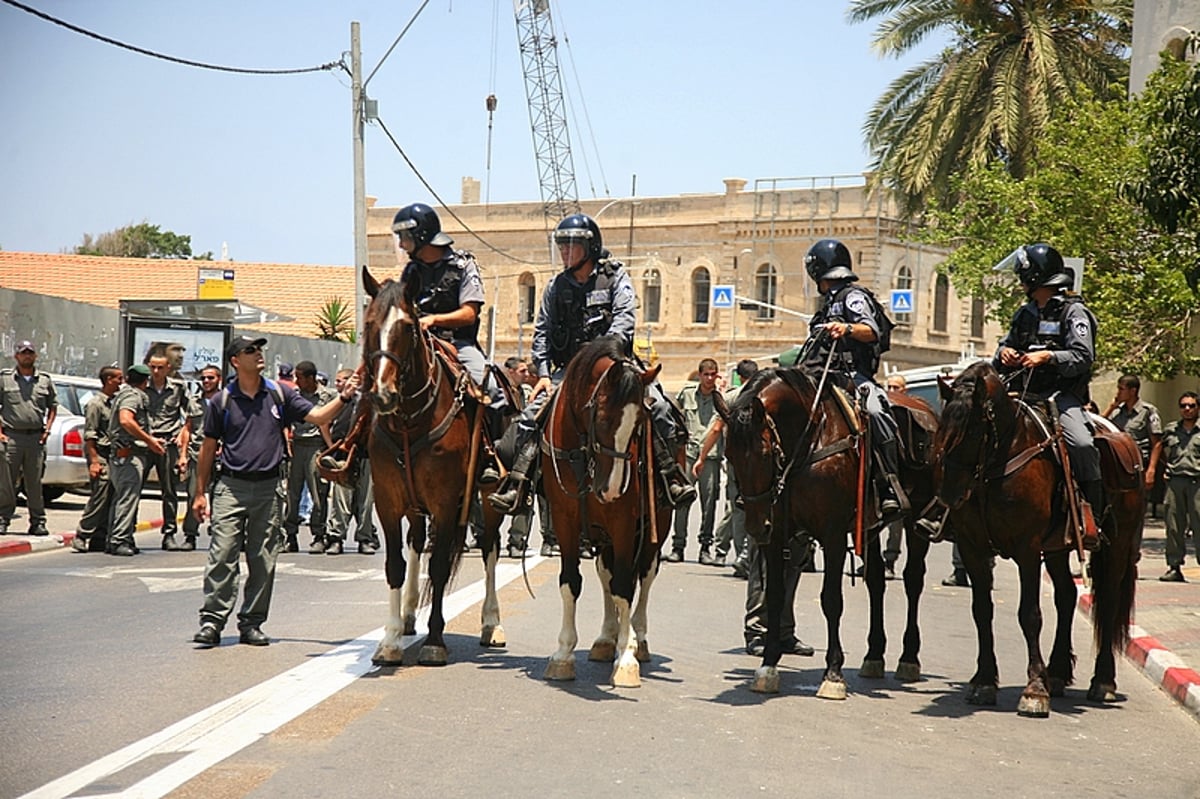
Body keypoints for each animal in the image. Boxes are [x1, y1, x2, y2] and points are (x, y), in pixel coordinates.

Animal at [357, 267, 504, 667]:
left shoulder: (445, 501)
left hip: (487, 497)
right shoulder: (389, 501)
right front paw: (390, 640)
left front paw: (435, 640)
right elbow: (396, 565)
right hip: (415, 504)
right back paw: (409, 615)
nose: (383, 394)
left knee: (490, 548)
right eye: (369, 324)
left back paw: (491, 623)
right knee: (417, 543)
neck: (409, 421)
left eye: (408, 326)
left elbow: (438, 568)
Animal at [537, 335, 672, 686]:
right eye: (600, 418)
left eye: (639, 424)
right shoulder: (564, 519)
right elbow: (571, 582)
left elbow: (625, 588)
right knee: (606, 573)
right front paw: (563, 655)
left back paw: (637, 639)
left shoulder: (623, 521)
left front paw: (625, 659)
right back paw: (606, 638)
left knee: (644, 576)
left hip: (654, 529)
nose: (610, 490)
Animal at [715, 367, 940, 695]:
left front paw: (833, 673)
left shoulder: (832, 535)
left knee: (913, 581)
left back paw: (908, 658)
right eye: (729, 454)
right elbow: (775, 596)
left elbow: (831, 600)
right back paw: (874, 656)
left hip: (917, 521)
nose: (756, 525)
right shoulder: (777, 536)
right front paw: (768, 665)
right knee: (876, 582)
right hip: (869, 528)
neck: (809, 439)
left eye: (765, 452)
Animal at [931, 359, 1137, 715]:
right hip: (1056, 549)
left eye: (972, 429)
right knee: (1067, 595)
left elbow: (1029, 615)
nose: (949, 494)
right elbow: (981, 611)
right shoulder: (973, 547)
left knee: (1108, 602)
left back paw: (1103, 682)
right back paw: (1057, 673)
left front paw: (1034, 690)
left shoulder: (1027, 549)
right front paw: (984, 681)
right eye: (942, 427)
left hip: (1117, 546)